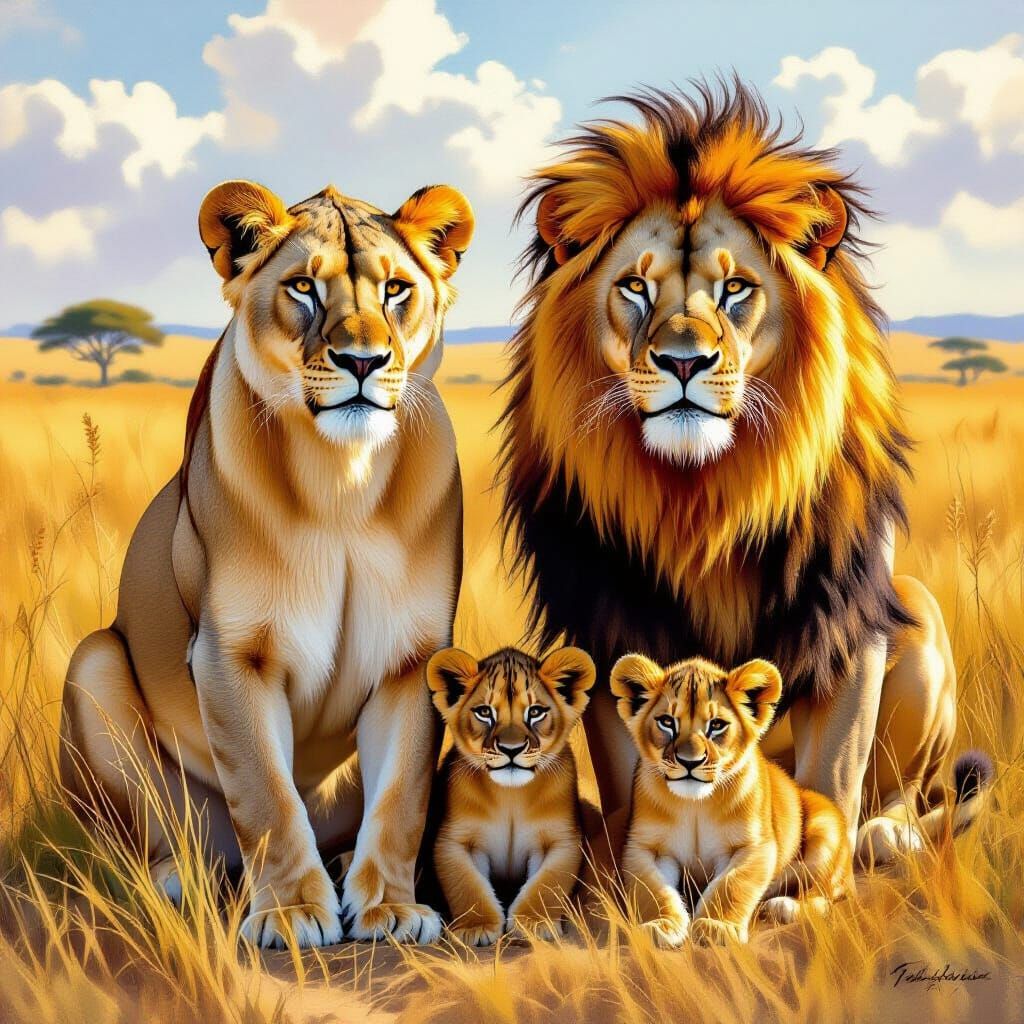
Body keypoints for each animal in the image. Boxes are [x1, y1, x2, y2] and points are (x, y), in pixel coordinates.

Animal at [60, 178, 474, 948]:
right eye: (304, 287)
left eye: (397, 289)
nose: (364, 362)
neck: (342, 480)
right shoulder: (230, 653)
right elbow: (265, 794)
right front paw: (290, 912)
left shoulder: (413, 658)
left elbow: (401, 794)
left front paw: (389, 910)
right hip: (91, 662)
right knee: (171, 833)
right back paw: (179, 878)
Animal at [426, 645, 595, 944]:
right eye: (484, 712)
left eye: (536, 712)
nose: (511, 749)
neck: (511, 798)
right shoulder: (455, 840)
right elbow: (467, 885)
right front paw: (475, 928)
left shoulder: (561, 839)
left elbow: (546, 885)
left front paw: (534, 924)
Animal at [498, 82, 983, 868]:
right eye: (635, 287)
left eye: (734, 289)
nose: (684, 362)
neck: (705, 495)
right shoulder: (606, 630)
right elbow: (634, 779)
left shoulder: (843, 624)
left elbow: (833, 778)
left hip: (913, 605)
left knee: (905, 792)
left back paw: (891, 835)